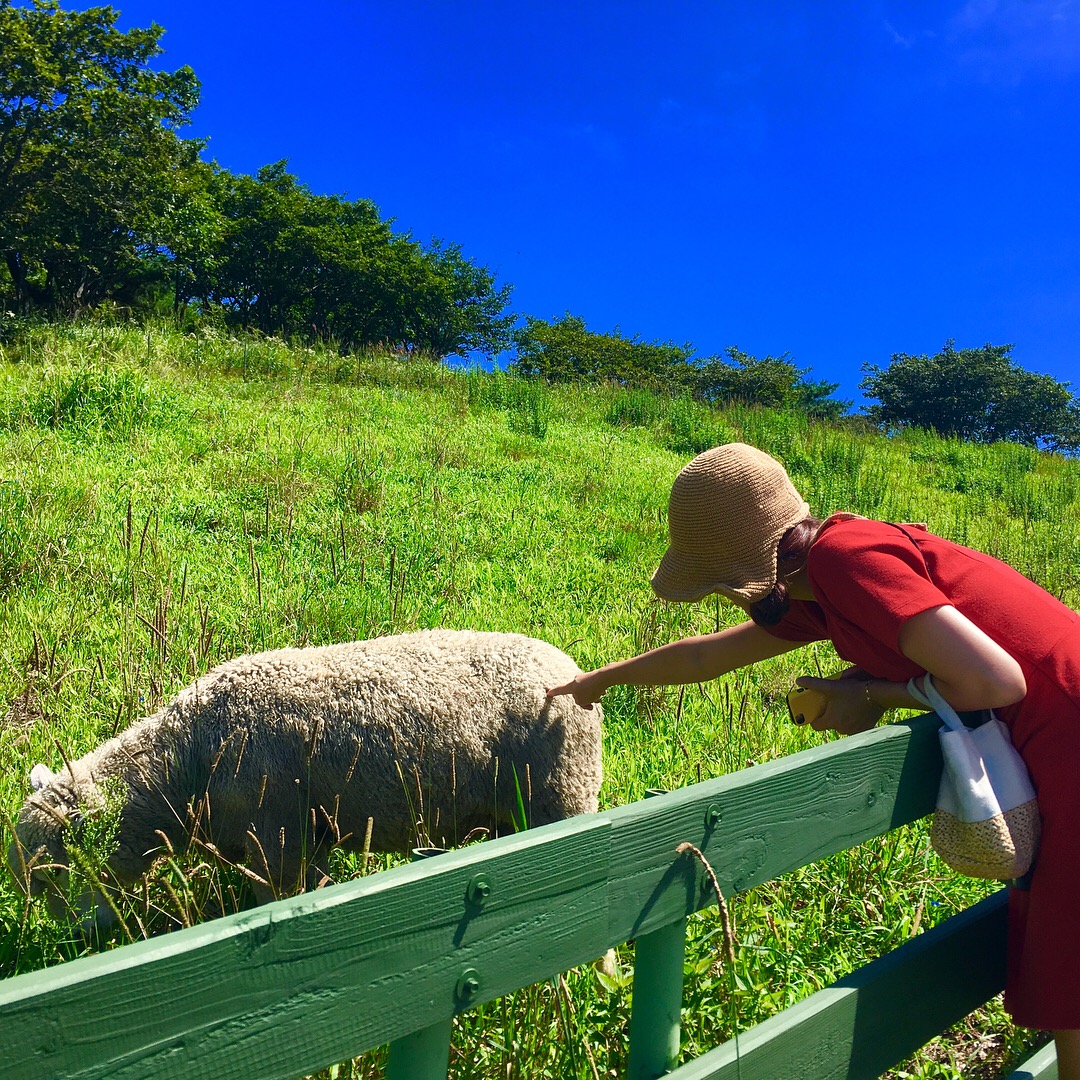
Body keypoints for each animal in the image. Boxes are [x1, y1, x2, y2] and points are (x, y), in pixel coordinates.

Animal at [7, 629, 603, 923]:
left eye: (54, 876)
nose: (72, 939)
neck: (188, 761)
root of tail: (572, 671)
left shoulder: (281, 842)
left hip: (562, 796)